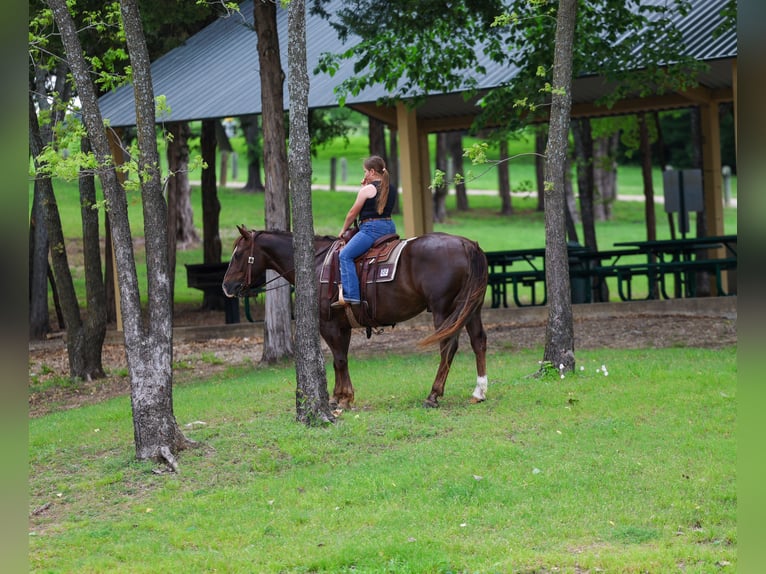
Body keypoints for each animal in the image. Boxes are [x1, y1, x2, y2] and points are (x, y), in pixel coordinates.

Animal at [222, 226, 489, 409]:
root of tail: (467, 244)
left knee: (448, 346)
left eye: (238, 255)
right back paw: (479, 392)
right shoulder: (344, 326)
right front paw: (340, 396)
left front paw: (342, 398)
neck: (318, 263)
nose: (226, 286)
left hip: (444, 310)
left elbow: (339, 359)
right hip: (471, 308)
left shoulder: (328, 324)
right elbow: (341, 359)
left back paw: (433, 395)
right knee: (479, 341)